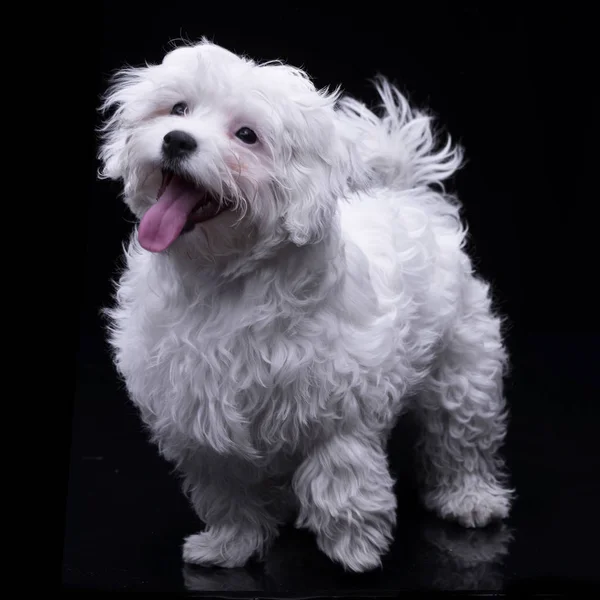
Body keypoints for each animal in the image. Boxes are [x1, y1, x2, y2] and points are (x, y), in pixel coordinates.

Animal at [97, 39, 510, 576]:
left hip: (462, 363)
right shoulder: (201, 411)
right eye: (178, 108)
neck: (222, 280)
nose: (177, 141)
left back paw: (470, 498)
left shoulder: (340, 403)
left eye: (247, 135)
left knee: (460, 434)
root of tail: (406, 196)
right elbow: (226, 491)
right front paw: (229, 545)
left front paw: (355, 551)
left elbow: (341, 477)